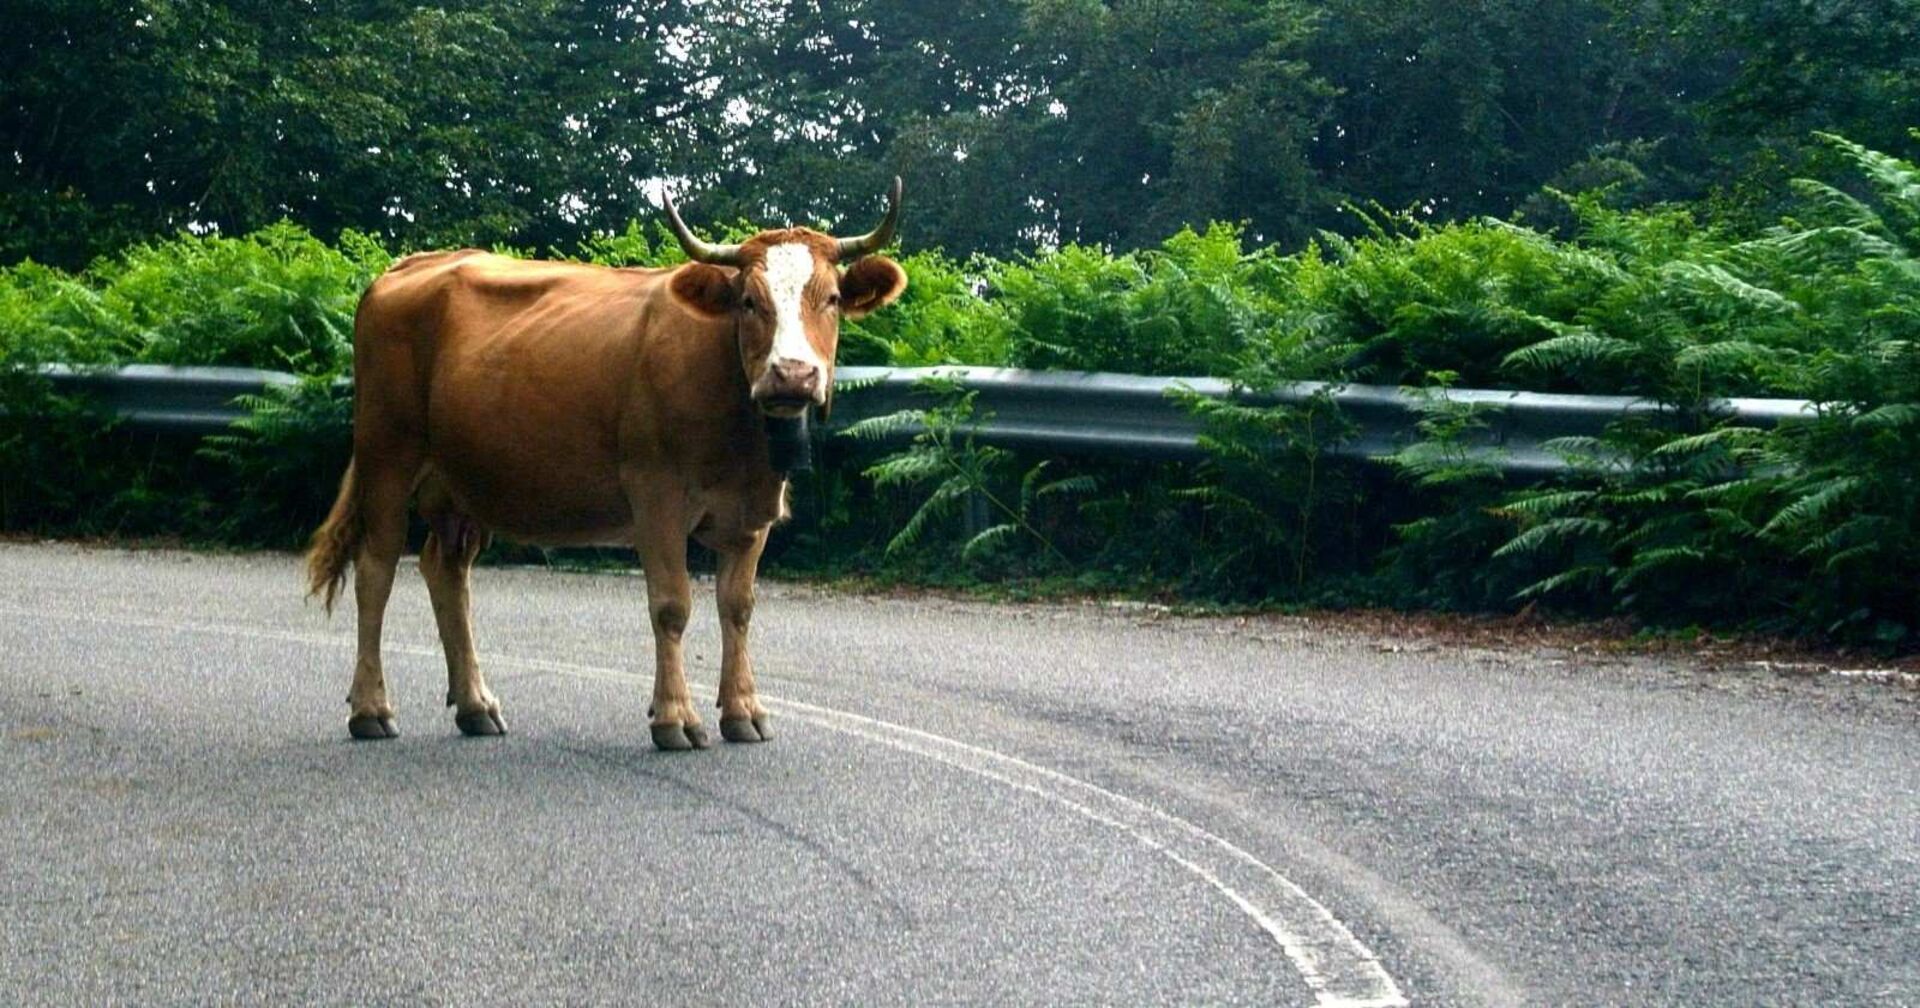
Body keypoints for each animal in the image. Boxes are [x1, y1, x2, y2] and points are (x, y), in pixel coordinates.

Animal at [304, 180, 908, 750]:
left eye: (832, 298)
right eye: (749, 302)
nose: (792, 375)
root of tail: (411, 266)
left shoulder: (751, 511)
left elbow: (737, 607)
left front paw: (743, 711)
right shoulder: (656, 499)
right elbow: (672, 606)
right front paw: (675, 718)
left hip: (460, 482)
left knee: (446, 572)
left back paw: (476, 704)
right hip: (388, 454)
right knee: (376, 571)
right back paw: (371, 708)